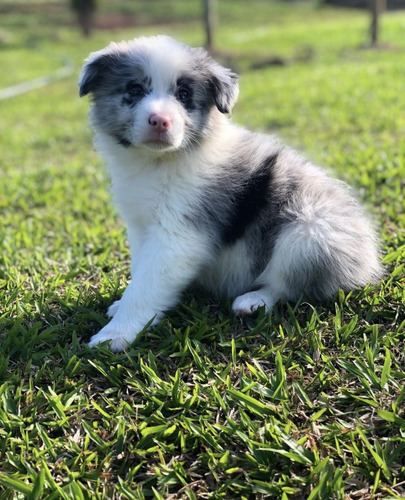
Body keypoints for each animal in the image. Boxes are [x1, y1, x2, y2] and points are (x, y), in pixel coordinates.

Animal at [79, 35, 382, 350]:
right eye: (134, 90)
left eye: (184, 94)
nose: (160, 120)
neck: (160, 161)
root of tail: (368, 261)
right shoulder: (141, 227)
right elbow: (140, 271)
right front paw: (121, 309)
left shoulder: (178, 235)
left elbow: (146, 286)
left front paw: (115, 334)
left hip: (310, 232)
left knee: (287, 284)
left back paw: (254, 300)